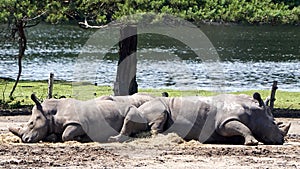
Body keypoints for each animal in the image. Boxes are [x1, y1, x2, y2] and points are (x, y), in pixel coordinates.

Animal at [8, 93, 146, 143]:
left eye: (31, 123)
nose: (24, 140)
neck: (49, 113)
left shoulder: (78, 123)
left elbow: (66, 135)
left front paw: (80, 138)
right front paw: (53, 137)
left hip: (133, 110)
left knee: (129, 117)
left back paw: (111, 139)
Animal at [109, 92, 290, 145]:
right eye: (274, 123)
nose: (281, 140)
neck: (254, 111)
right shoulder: (224, 122)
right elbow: (242, 127)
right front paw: (252, 143)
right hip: (153, 106)